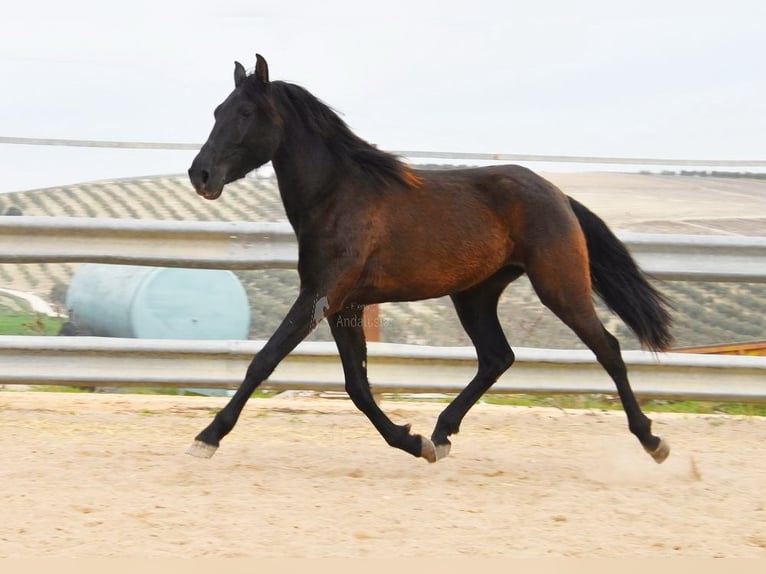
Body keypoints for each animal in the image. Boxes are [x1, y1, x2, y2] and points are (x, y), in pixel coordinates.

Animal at [189, 55, 676, 468]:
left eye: (245, 113)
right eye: (216, 111)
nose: (200, 175)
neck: (337, 195)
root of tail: (557, 194)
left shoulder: (322, 295)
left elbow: (265, 360)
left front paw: (207, 437)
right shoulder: (344, 304)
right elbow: (357, 386)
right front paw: (413, 441)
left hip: (559, 285)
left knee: (607, 348)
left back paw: (653, 440)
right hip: (476, 295)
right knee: (497, 357)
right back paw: (441, 433)